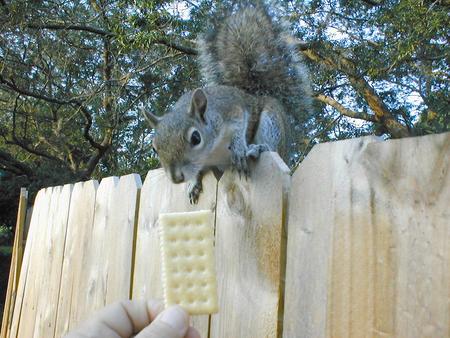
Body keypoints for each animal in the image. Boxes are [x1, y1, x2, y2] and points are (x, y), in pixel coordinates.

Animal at [142, 3, 312, 203]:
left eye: (196, 138)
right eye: (154, 147)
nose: (176, 178)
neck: (211, 152)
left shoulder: (232, 109)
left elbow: (239, 125)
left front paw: (238, 147)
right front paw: (193, 183)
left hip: (272, 123)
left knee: (271, 147)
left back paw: (258, 148)